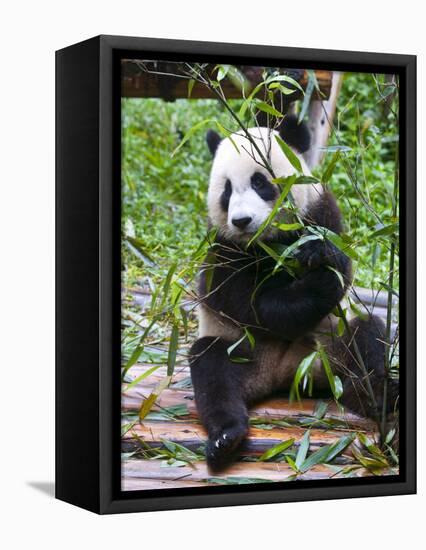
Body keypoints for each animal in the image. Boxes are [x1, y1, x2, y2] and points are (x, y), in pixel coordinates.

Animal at [190, 115, 396, 470]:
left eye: (260, 182)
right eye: (226, 191)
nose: (242, 221)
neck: (269, 241)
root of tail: (291, 375)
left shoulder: (320, 209)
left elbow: (339, 260)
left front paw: (320, 257)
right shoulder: (224, 247)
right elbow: (248, 303)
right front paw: (317, 283)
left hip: (334, 343)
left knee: (367, 336)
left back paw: (378, 395)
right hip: (243, 350)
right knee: (212, 368)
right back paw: (226, 438)